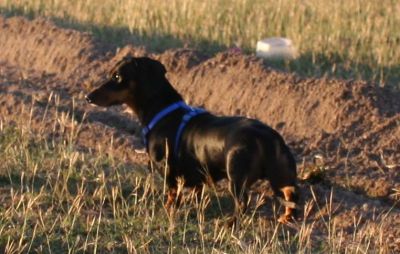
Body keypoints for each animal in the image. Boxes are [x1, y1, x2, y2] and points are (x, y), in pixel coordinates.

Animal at [87, 56, 300, 223]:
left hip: (236, 177)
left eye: (117, 77)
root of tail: (268, 138)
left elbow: (172, 195)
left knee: (243, 204)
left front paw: (168, 211)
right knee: (291, 195)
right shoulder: (197, 178)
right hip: (282, 175)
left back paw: (229, 223)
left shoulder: (168, 171)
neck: (163, 112)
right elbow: (196, 193)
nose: (88, 97)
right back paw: (286, 218)